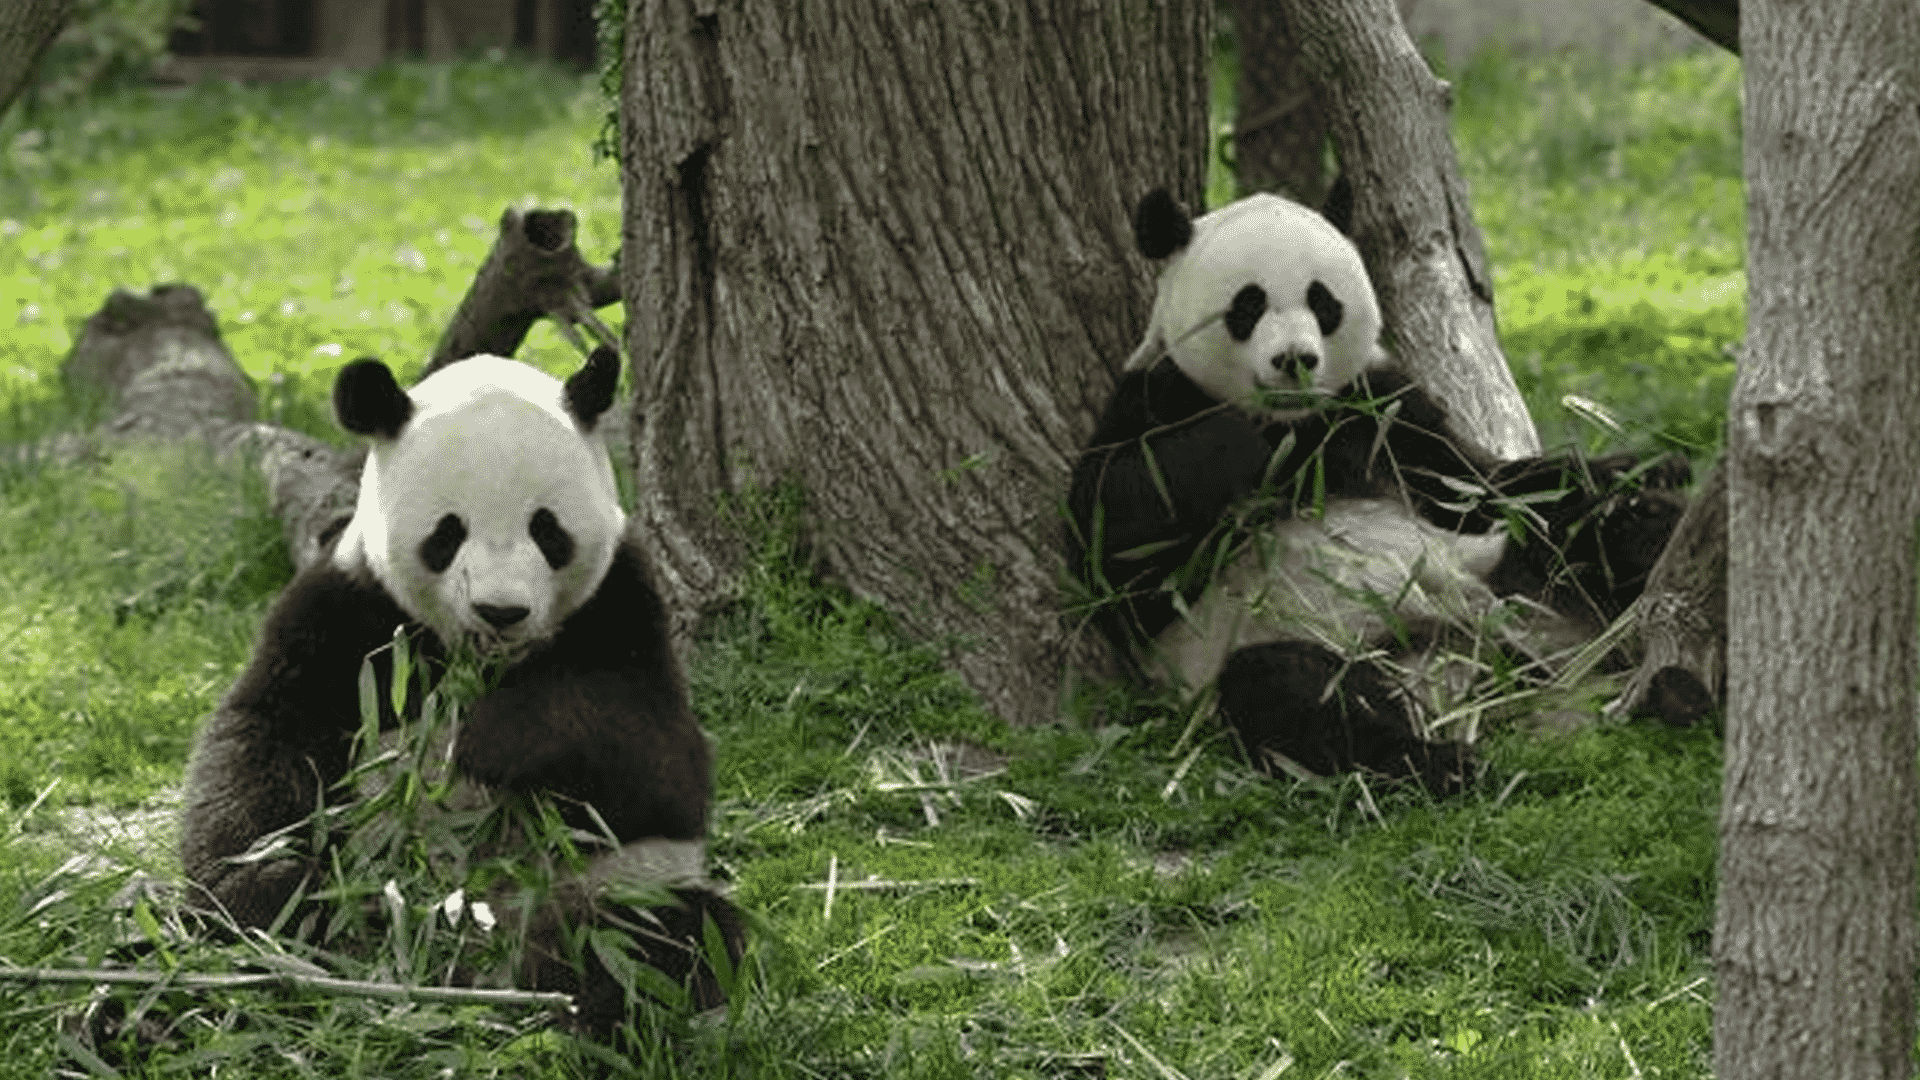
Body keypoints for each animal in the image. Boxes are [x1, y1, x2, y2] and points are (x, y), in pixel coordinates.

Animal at [179, 346, 743, 1028]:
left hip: (600, 886)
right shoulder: (348, 612)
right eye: (447, 533)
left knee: (662, 936)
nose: (501, 611)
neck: (479, 661)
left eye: (547, 530)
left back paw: (572, 999)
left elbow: (656, 760)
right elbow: (263, 739)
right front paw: (265, 892)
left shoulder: (623, 605)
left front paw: (495, 740)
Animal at [1068, 188, 1687, 794]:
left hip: (1515, 579)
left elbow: (1481, 485)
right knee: (1296, 691)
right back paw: (1441, 764)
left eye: (1323, 302)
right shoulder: (1152, 399)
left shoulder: (1383, 409)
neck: (1297, 420)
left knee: (1580, 541)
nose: (1295, 360)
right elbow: (1113, 554)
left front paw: (1648, 468)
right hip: (1312, 645)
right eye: (1248, 306)